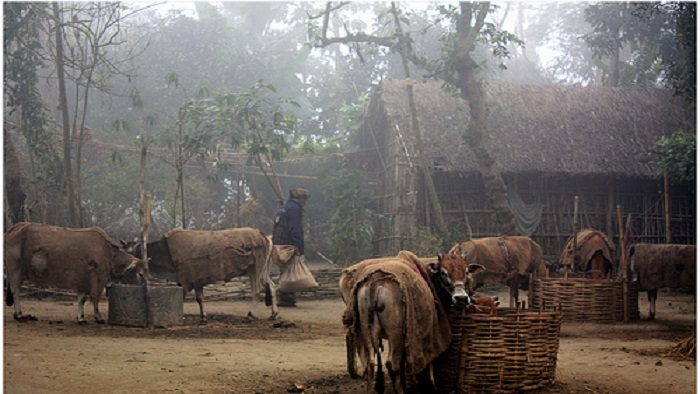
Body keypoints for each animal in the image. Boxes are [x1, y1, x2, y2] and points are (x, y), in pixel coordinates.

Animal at [2, 223, 145, 324]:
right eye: (140, 274)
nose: (142, 285)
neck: (109, 253)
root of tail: (12, 230)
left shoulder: (82, 279)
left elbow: (81, 299)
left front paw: (81, 318)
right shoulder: (95, 277)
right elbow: (95, 296)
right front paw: (98, 317)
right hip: (15, 269)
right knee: (15, 291)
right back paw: (19, 314)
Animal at [131, 228, 290, 324]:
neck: (163, 250)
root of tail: (265, 237)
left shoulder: (184, 281)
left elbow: (182, 298)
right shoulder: (197, 280)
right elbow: (200, 299)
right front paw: (203, 318)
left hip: (256, 269)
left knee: (257, 290)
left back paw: (249, 314)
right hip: (258, 270)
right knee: (272, 285)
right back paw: (274, 314)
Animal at [340, 252, 484, 394]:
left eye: (466, 271)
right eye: (443, 272)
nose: (461, 298)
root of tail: (375, 281)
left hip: (367, 330)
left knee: (370, 363)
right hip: (395, 333)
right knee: (391, 364)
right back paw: (399, 390)